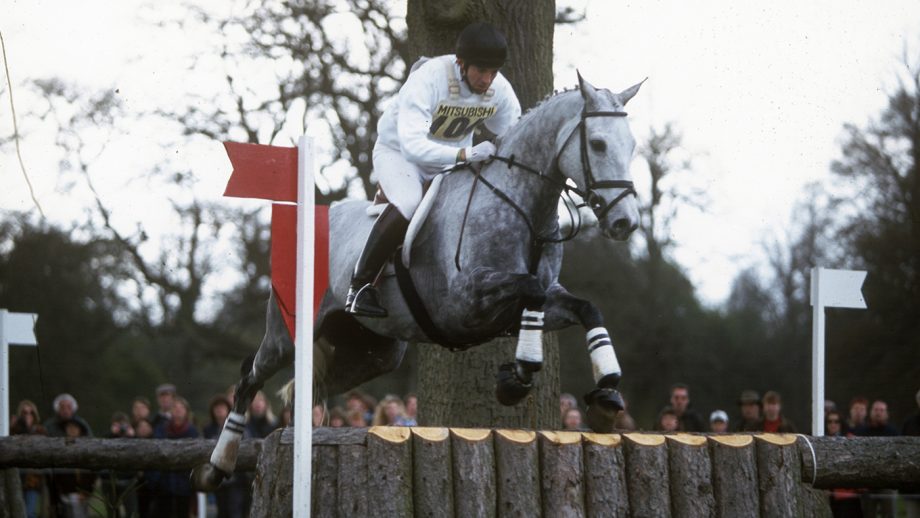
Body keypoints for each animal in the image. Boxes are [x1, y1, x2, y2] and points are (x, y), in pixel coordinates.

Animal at [194, 72, 640, 492]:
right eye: (598, 144)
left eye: (632, 146)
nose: (625, 222)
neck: (522, 207)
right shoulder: (467, 301)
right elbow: (529, 289)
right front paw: (518, 377)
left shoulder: (532, 303)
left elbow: (586, 308)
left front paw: (606, 393)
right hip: (287, 335)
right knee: (250, 376)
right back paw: (217, 467)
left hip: (376, 353)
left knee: (314, 384)